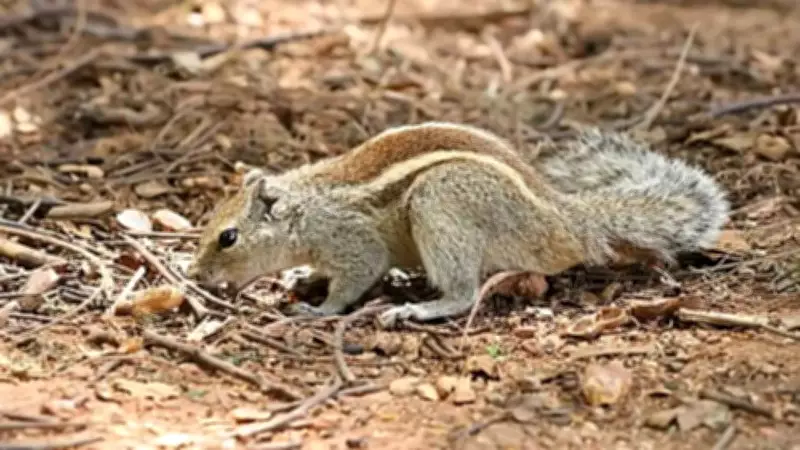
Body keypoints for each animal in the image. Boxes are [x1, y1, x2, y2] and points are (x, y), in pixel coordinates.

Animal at [186, 122, 729, 327]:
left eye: (228, 238)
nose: (195, 275)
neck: (304, 209)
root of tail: (566, 222)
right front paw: (303, 278)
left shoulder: (351, 241)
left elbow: (356, 277)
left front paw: (319, 310)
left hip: (440, 202)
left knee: (465, 293)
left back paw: (418, 309)